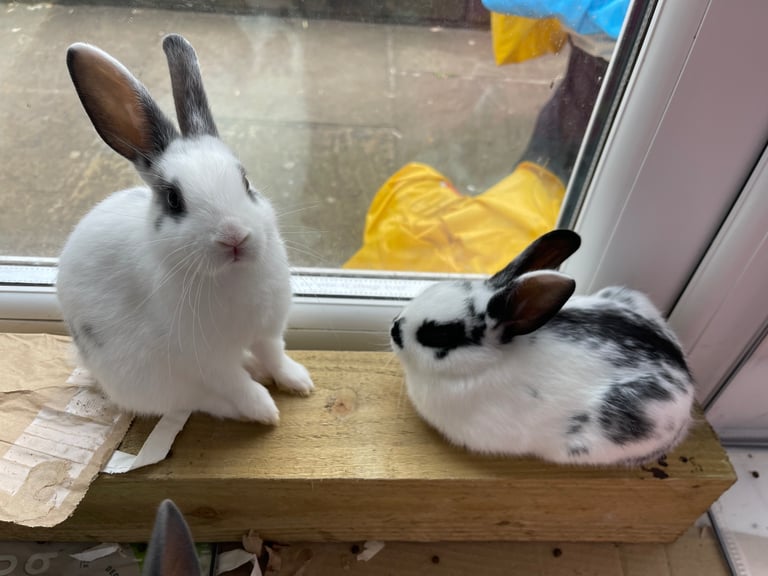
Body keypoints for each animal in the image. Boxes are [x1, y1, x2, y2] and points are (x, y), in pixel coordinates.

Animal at [56, 34, 313, 423]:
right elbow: (236, 384)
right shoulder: (206, 360)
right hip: (146, 380)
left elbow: (275, 355)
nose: (234, 237)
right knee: (200, 399)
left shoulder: (267, 331)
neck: (231, 276)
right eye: (174, 199)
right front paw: (268, 412)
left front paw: (299, 382)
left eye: (245, 181)